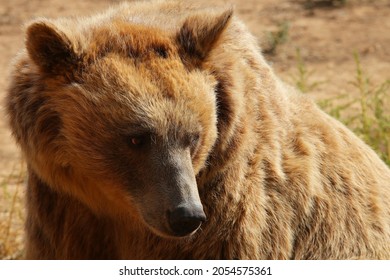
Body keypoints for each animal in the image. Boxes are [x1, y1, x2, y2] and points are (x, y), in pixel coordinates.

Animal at [5, 0, 390, 260]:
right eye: (136, 137)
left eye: (194, 137)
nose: (185, 215)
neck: (119, 209)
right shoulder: (65, 210)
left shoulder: (230, 215)